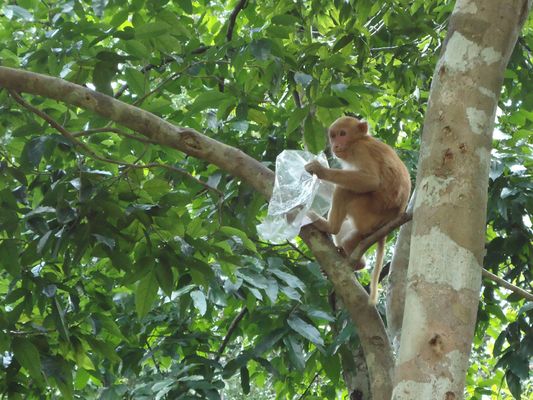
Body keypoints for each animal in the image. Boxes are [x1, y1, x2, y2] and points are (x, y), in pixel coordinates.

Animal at [304, 117, 412, 304]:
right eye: (333, 135)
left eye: (343, 134)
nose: (335, 144)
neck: (360, 139)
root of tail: (390, 222)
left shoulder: (360, 150)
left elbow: (371, 181)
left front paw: (320, 170)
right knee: (348, 235)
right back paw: (349, 256)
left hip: (366, 214)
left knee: (344, 190)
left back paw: (329, 227)